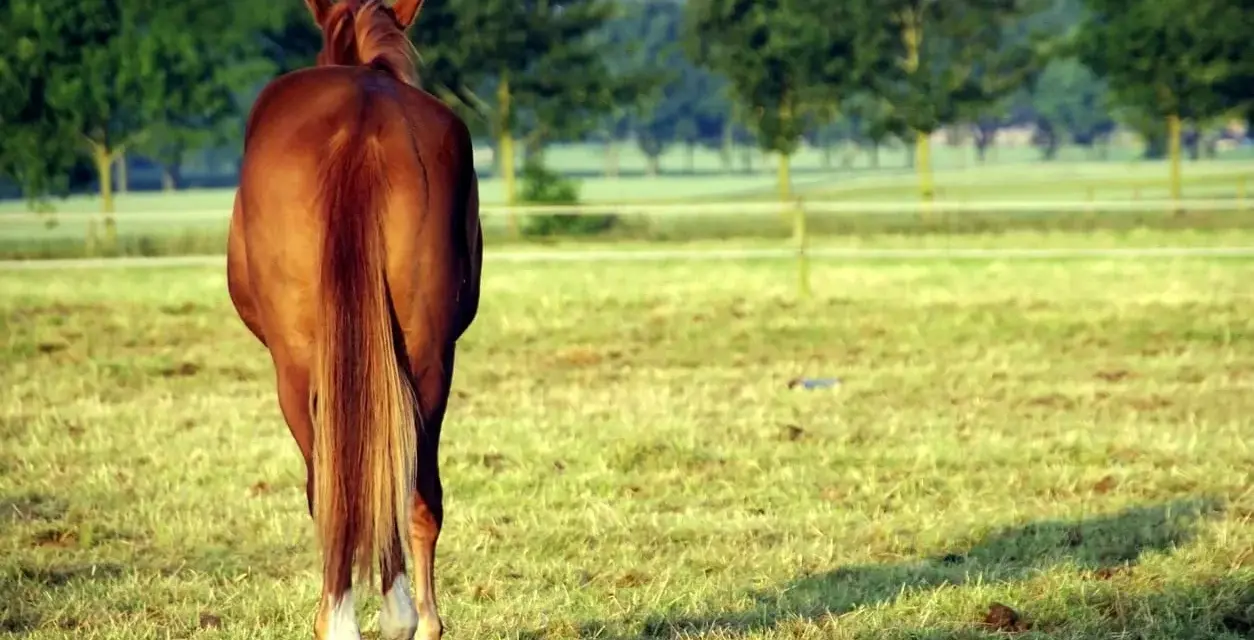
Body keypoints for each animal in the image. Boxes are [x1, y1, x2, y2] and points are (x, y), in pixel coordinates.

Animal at [225, 0, 482, 637]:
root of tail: (361, 122)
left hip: (296, 372)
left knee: (334, 493)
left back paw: (352, 616)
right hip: (428, 359)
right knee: (413, 491)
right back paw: (411, 619)